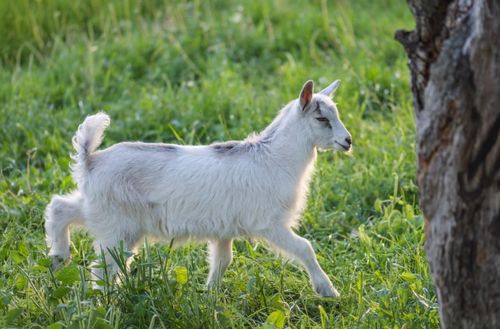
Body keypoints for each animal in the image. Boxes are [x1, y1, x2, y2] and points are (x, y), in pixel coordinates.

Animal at [46, 79, 352, 294]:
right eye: (321, 118)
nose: (347, 141)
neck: (274, 157)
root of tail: (90, 159)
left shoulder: (224, 231)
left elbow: (222, 261)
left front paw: (209, 295)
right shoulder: (269, 223)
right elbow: (304, 247)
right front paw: (328, 291)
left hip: (99, 210)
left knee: (60, 207)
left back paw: (59, 257)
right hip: (118, 227)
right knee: (103, 267)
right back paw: (105, 300)